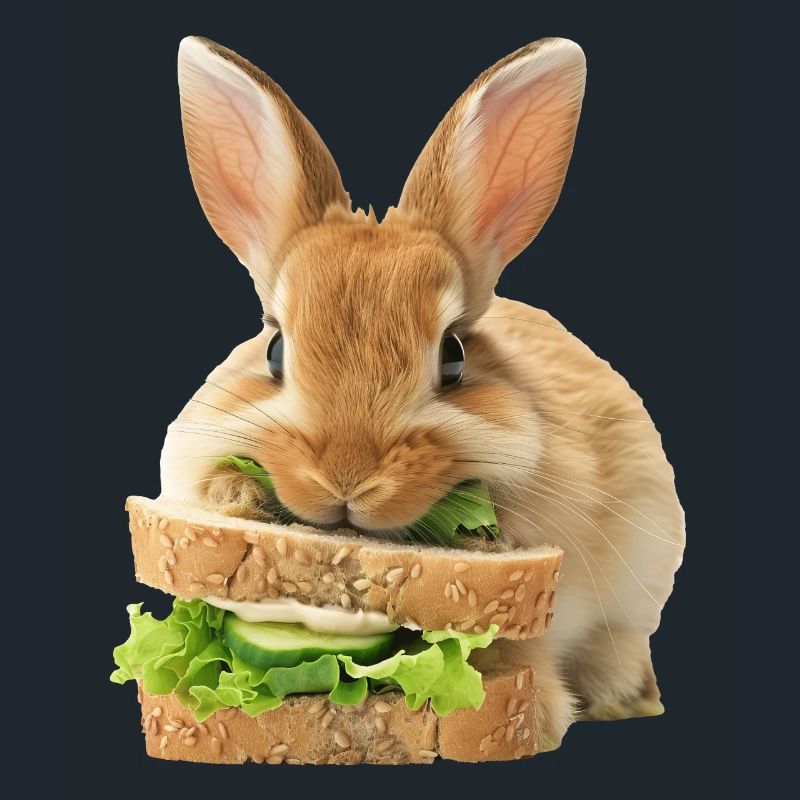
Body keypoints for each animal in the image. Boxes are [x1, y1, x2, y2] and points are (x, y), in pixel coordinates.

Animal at [160, 36, 685, 749]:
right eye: (274, 349)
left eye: (454, 356)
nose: (347, 477)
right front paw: (235, 498)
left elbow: (515, 642)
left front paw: (537, 714)